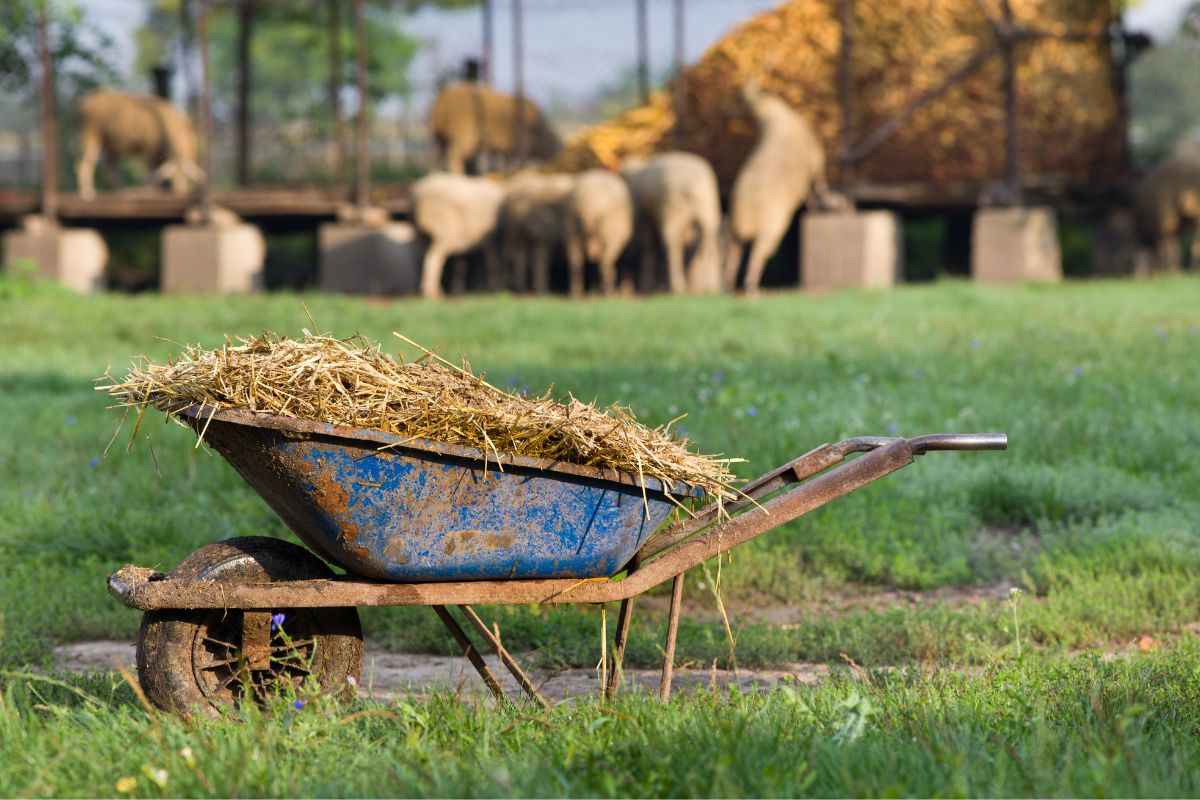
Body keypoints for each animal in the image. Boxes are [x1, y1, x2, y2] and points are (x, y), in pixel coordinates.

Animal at [432, 81, 561, 175]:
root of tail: (443, 98)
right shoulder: (522, 146)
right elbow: (516, 163)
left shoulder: (508, 149)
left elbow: (506, 164)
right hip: (466, 134)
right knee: (454, 155)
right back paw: (459, 176)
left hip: (440, 137)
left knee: (439, 157)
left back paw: (438, 174)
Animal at [564, 169, 638, 297]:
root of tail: (587, 207)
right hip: (609, 234)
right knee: (605, 263)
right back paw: (609, 292)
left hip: (571, 231)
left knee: (575, 263)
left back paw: (577, 293)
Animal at [624, 151, 715, 293]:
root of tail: (691, 187)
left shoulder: (646, 219)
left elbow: (650, 247)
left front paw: (649, 285)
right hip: (707, 212)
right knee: (706, 242)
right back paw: (705, 285)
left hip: (673, 214)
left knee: (672, 244)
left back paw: (676, 284)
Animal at [720, 82, 835, 293]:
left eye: (737, 97)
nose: (725, 110)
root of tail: (743, 219)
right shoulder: (816, 160)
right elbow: (820, 187)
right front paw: (826, 203)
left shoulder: (812, 167)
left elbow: (812, 193)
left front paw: (817, 205)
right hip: (770, 229)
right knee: (756, 256)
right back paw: (751, 287)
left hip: (734, 234)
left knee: (732, 256)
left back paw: (729, 286)